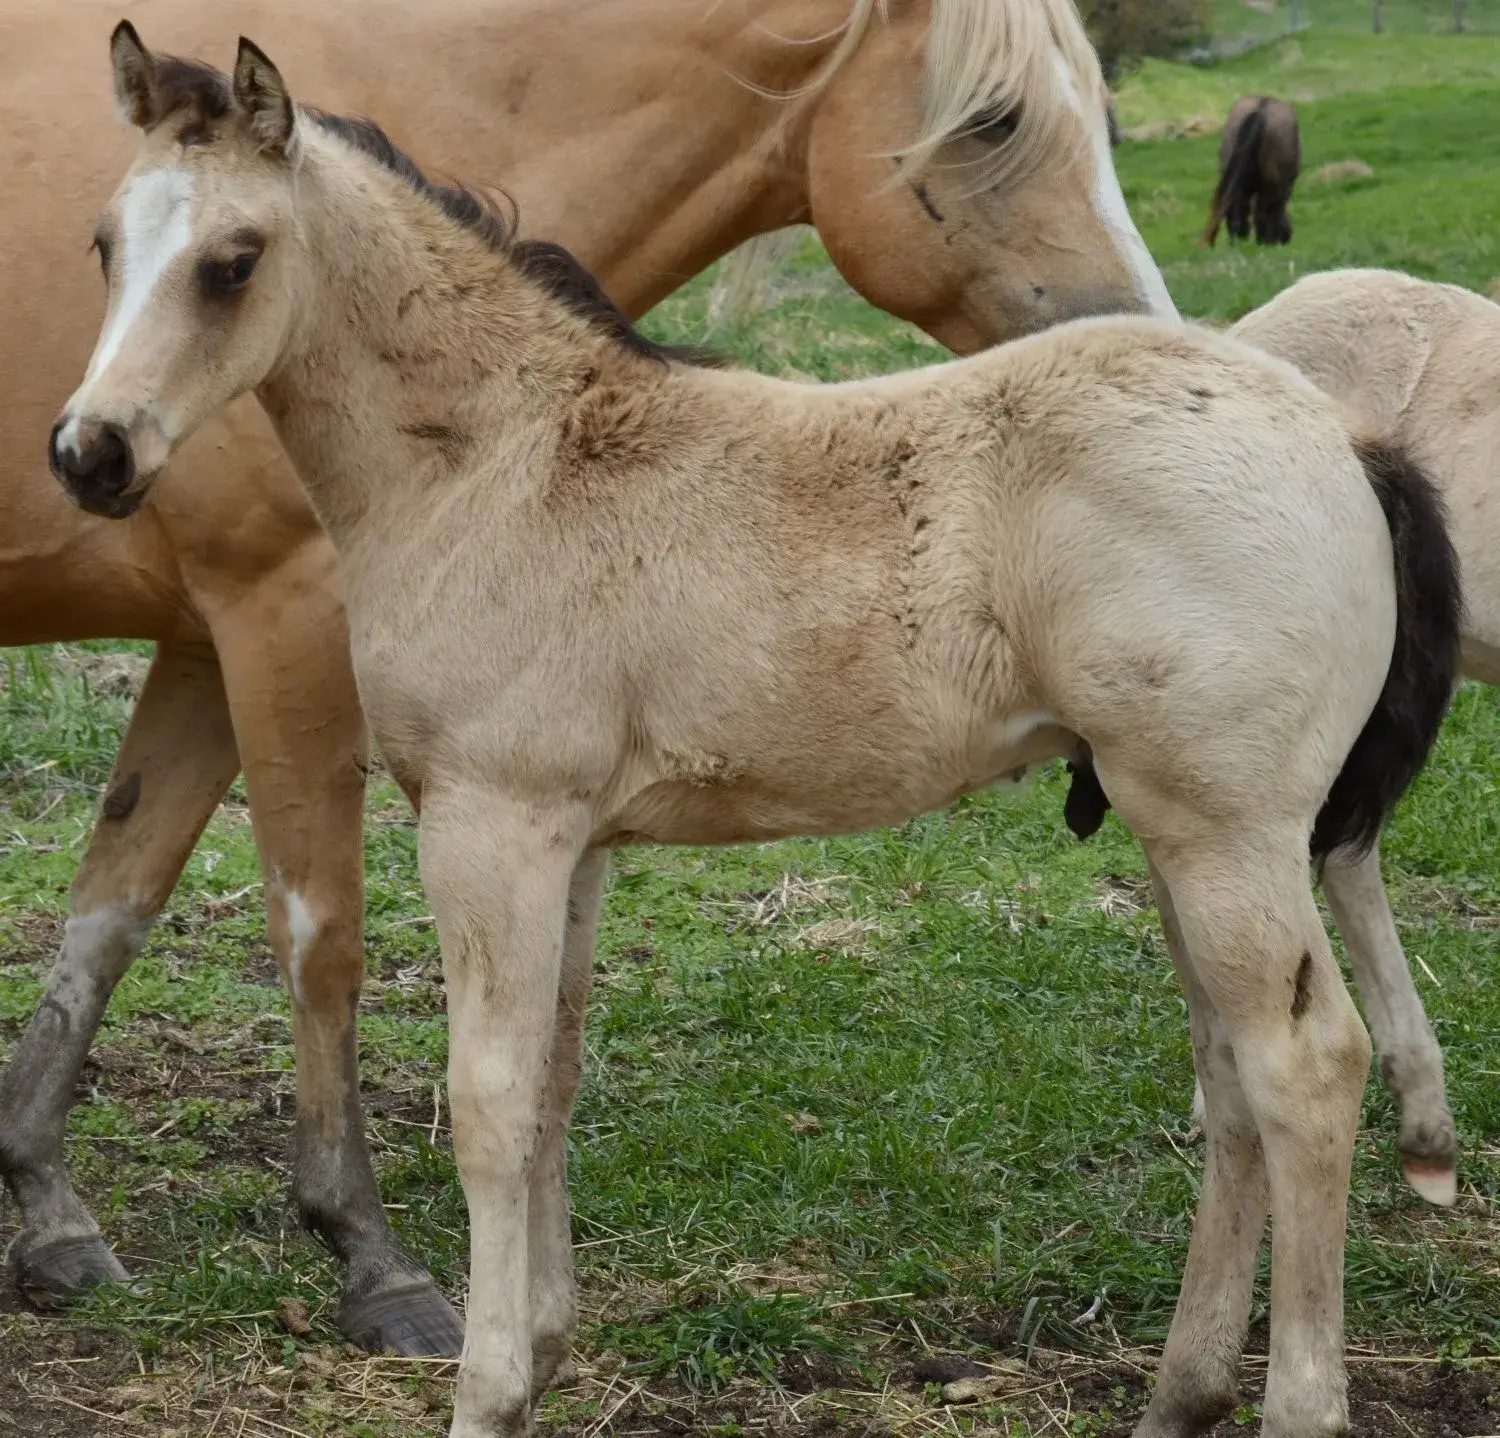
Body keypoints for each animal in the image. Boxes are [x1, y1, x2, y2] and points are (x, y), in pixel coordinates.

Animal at [1203, 95, 1301, 247]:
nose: (1287, 236)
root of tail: (1260, 109)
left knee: (1238, 211)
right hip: (1271, 182)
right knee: (1262, 213)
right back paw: (1264, 241)